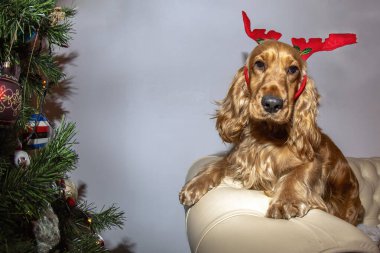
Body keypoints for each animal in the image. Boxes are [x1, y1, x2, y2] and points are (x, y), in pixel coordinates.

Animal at [180, 37, 364, 223]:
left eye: (293, 69)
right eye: (260, 64)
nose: (272, 104)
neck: (267, 134)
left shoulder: (313, 162)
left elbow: (296, 175)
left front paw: (286, 201)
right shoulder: (237, 159)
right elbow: (218, 163)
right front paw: (195, 184)